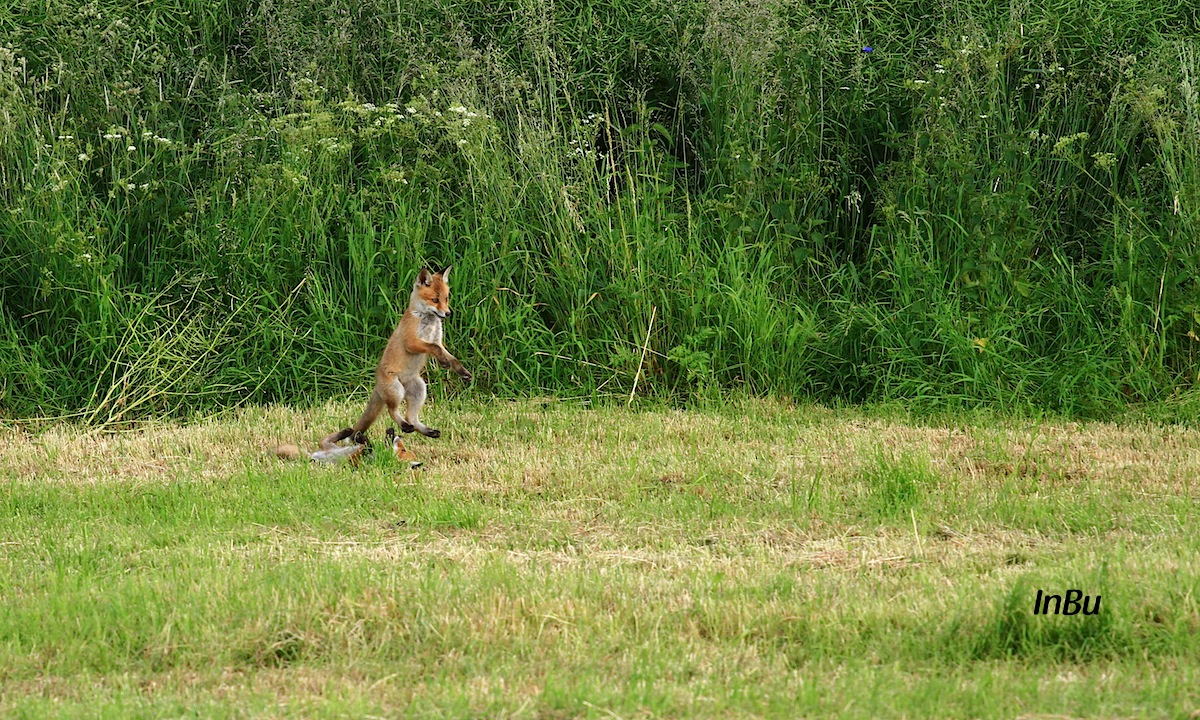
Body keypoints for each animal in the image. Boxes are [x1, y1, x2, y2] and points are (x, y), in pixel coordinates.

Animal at [319, 267, 472, 451]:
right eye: (435, 300)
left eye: (446, 298)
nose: (448, 313)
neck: (426, 320)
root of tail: (377, 385)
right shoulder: (412, 342)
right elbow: (432, 349)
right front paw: (443, 362)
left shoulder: (437, 341)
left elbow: (451, 358)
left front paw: (462, 372)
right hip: (396, 390)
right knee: (393, 412)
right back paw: (404, 426)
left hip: (419, 389)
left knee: (411, 417)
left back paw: (427, 431)